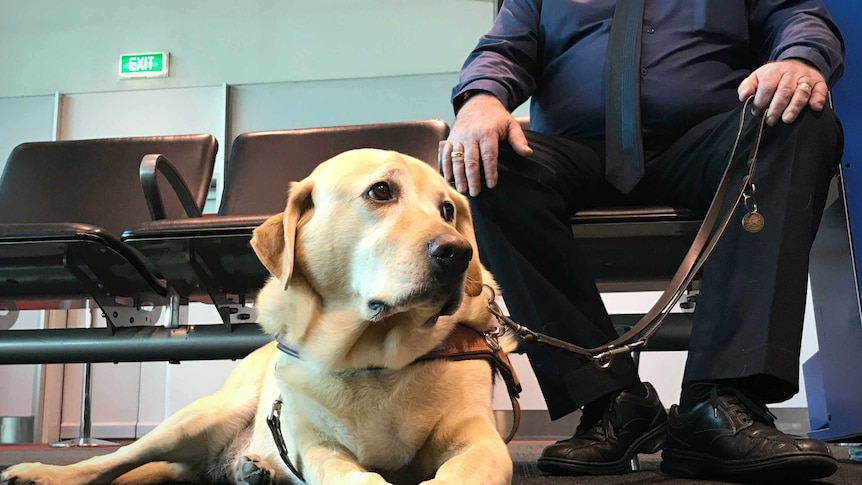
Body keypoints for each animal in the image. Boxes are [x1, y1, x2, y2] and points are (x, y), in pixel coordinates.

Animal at [3, 149, 516, 484]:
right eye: (381, 191)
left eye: (447, 209)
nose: (458, 252)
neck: (375, 359)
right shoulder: (316, 447)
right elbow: (355, 476)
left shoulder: (480, 440)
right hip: (203, 416)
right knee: (115, 461)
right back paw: (41, 471)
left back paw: (254, 470)